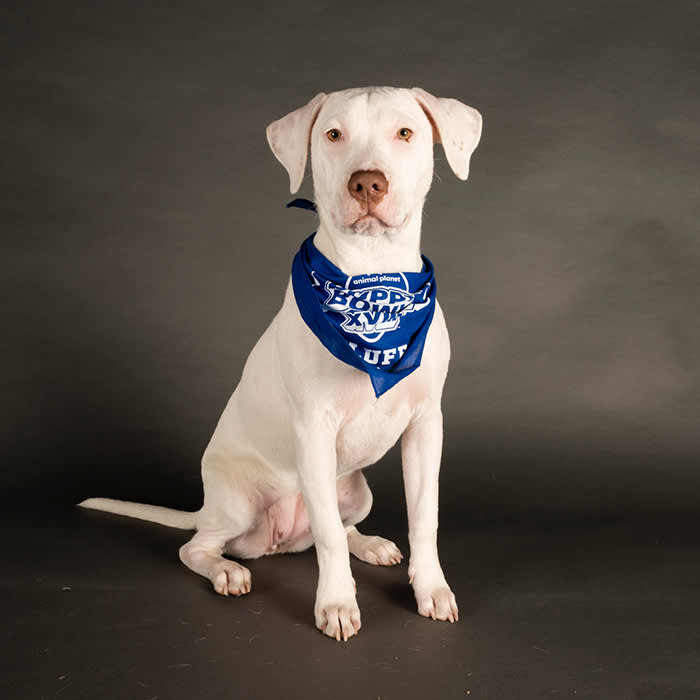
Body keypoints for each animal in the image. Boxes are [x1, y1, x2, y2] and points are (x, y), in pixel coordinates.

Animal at [79, 86, 478, 640]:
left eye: (405, 132)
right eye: (333, 134)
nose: (367, 183)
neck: (372, 282)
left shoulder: (425, 426)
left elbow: (423, 517)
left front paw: (431, 589)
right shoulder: (313, 428)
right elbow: (328, 537)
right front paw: (336, 603)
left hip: (356, 491)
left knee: (340, 525)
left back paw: (369, 544)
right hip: (239, 502)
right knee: (202, 546)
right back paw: (225, 570)